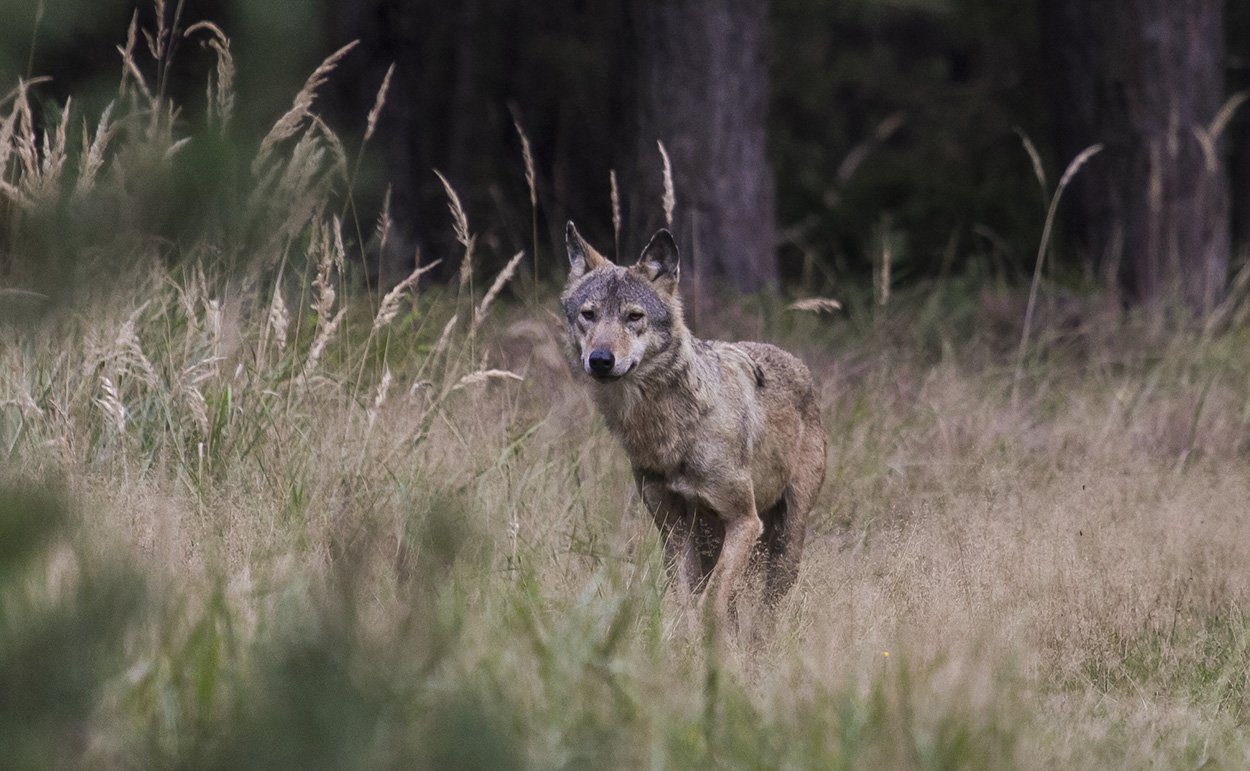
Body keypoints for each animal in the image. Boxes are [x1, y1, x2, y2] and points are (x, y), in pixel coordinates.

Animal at [560, 222, 826, 629]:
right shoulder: (673, 528)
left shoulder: (744, 522)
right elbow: (686, 603)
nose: (601, 359)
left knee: (765, 610)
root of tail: (797, 363)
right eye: (588, 315)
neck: (670, 432)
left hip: (785, 542)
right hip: (709, 538)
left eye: (634, 317)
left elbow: (710, 603)